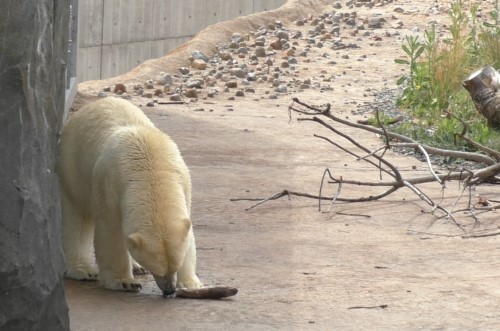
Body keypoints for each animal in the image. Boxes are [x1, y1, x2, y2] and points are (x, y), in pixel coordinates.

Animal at [55, 96, 201, 296]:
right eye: (158, 270)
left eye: (175, 267)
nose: (169, 290)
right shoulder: (109, 184)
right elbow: (111, 232)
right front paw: (124, 282)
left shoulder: (183, 182)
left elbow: (188, 233)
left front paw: (190, 284)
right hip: (72, 170)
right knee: (76, 221)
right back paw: (82, 270)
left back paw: (137, 267)